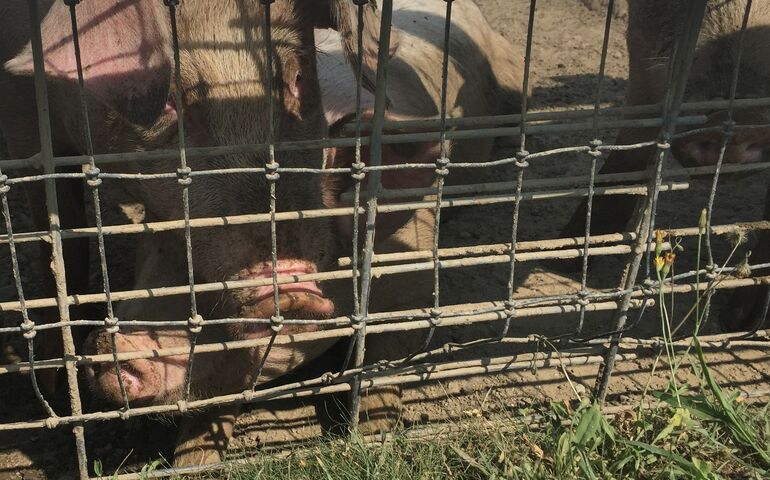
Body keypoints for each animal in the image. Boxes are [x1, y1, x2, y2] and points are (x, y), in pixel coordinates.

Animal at [78, 0, 520, 464]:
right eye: (154, 246)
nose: (109, 350)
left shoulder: (414, 285)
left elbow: (379, 375)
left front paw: (372, 439)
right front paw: (193, 464)